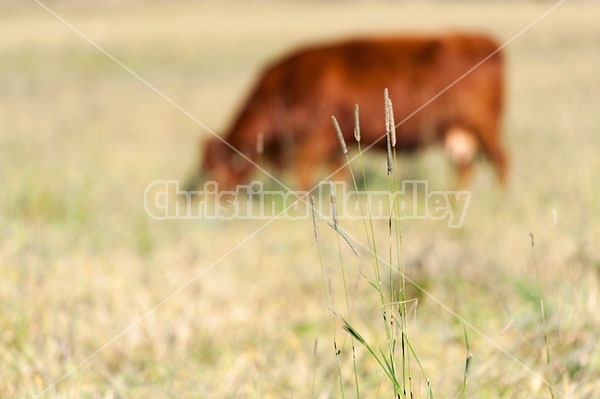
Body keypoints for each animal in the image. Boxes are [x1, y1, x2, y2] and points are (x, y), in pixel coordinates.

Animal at [192, 32, 506, 192]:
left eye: (217, 170)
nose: (208, 199)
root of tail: (482, 38)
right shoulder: (333, 145)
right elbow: (340, 177)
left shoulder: (312, 142)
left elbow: (304, 176)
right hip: (461, 132)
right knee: (465, 168)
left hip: (485, 127)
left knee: (502, 162)